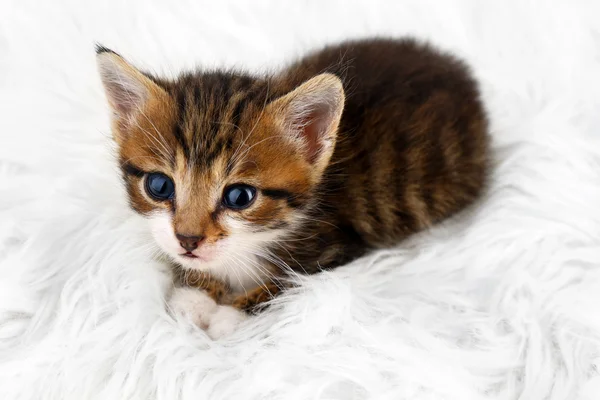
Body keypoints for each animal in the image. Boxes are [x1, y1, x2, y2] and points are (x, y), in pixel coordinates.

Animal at [97, 37, 488, 338]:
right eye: (160, 186)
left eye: (239, 197)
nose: (188, 239)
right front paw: (195, 293)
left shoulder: (338, 248)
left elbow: (285, 283)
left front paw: (229, 314)